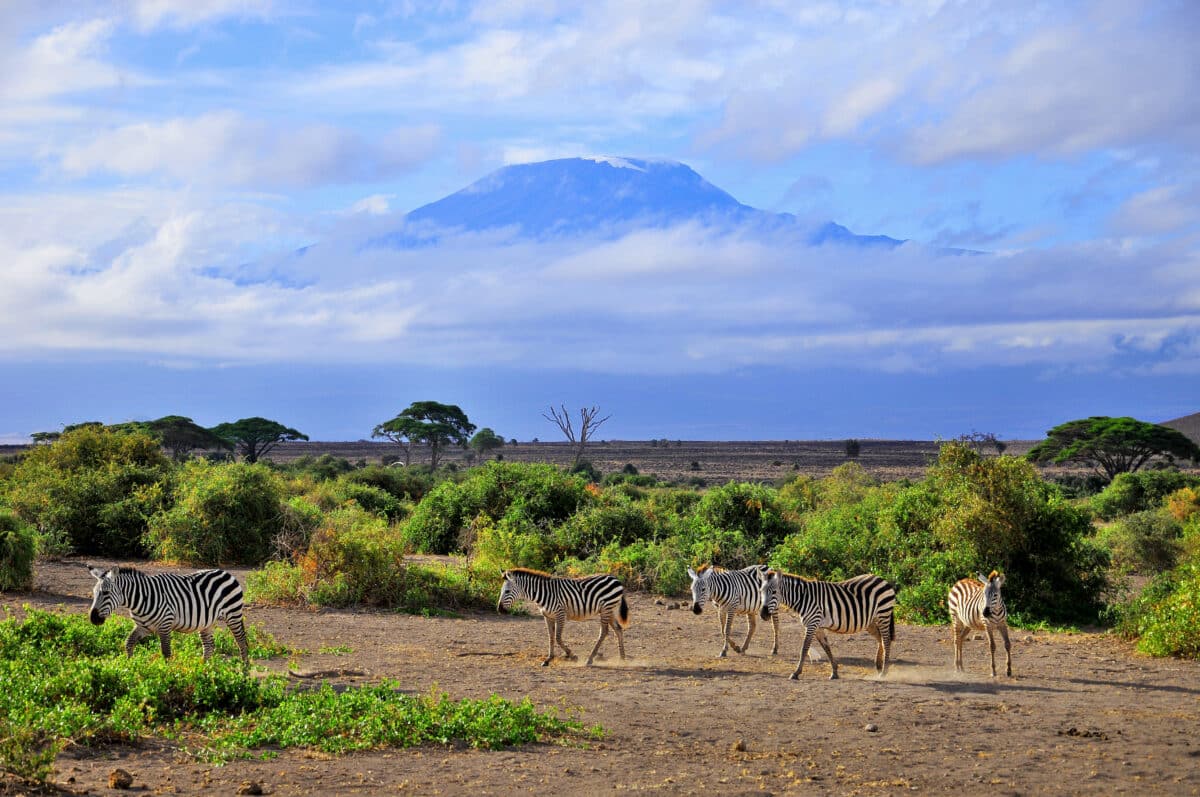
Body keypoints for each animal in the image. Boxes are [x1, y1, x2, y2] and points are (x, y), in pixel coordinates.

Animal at [88, 564, 250, 667]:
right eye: (94, 593)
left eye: (105, 593)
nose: (93, 619)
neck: (142, 598)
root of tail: (225, 572)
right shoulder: (143, 627)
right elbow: (128, 643)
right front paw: (129, 666)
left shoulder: (165, 625)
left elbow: (166, 652)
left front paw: (167, 675)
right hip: (207, 622)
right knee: (209, 646)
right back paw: (203, 671)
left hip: (233, 614)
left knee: (241, 641)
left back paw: (245, 671)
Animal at [496, 566, 633, 667]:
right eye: (501, 591)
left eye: (507, 591)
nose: (499, 610)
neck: (543, 594)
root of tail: (615, 579)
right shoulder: (547, 616)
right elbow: (551, 637)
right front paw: (548, 659)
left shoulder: (560, 614)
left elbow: (557, 638)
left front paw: (573, 656)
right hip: (609, 610)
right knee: (618, 629)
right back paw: (622, 658)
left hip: (606, 609)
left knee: (604, 632)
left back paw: (590, 659)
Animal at [753, 566, 897, 676]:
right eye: (760, 591)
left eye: (774, 592)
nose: (763, 614)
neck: (803, 598)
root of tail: (882, 580)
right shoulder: (818, 626)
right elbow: (826, 647)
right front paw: (834, 672)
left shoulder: (812, 624)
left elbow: (804, 648)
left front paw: (796, 673)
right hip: (870, 621)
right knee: (880, 639)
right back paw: (879, 665)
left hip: (883, 615)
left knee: (886, 641)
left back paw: (884, 671)